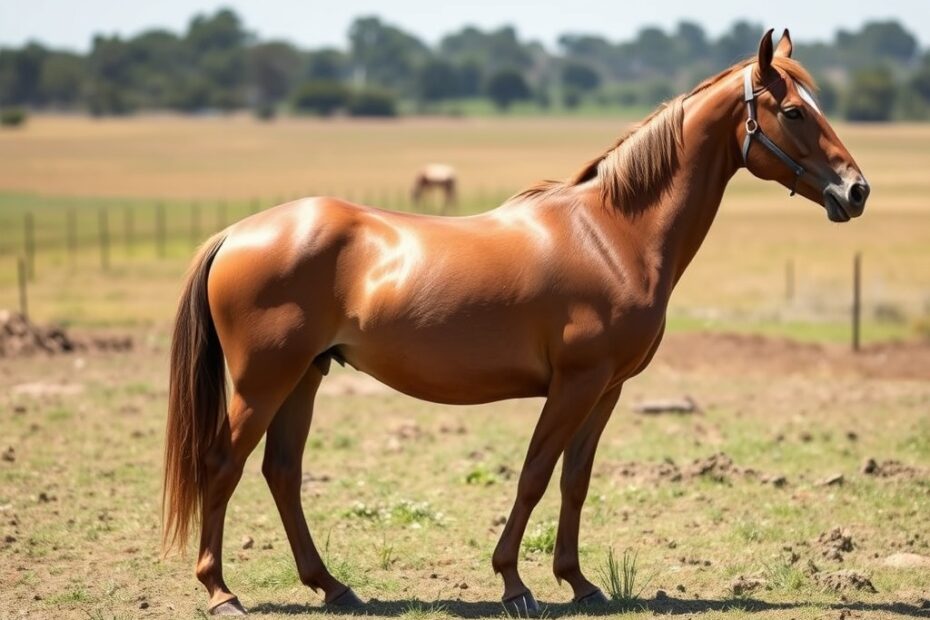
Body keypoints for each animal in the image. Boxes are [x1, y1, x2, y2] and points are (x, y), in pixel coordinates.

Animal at [163, 29, 869, 616]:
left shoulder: (606, 390)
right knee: (222, 464)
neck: (613, 234)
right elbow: (534, 475)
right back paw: (221, 593)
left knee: (282, 472)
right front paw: (514, 583)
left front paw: (579, 583)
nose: (856, 190)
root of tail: (236, 233)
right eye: (795, 111)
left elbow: (575, 481)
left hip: (304, 377)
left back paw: (333, 588)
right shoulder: (574, 384)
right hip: (263, 383)